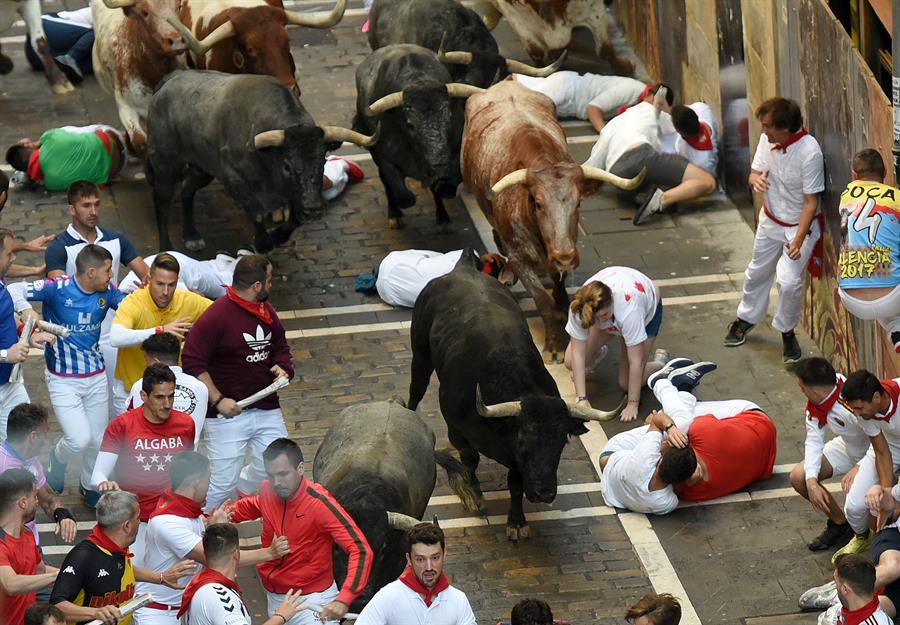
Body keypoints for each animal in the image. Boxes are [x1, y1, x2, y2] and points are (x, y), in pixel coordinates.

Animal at [410, 251, 624, 540]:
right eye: (523, 441)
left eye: (561, 442)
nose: (545, 492)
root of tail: (462, 267)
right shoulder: (457, 427)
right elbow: (469, 459)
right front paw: (474, 495)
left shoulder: (515, 460)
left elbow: (515, 483)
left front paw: (517, 521)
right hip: (420, 354)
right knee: (416, 391)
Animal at [464, 80, 640, 358]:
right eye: (537, 203)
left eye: (578, 202)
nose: (565, 256)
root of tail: (505, 83)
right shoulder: (520, 256)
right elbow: (542, 299)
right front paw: (554, 346)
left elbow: (558, 288)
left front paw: (564, 308)